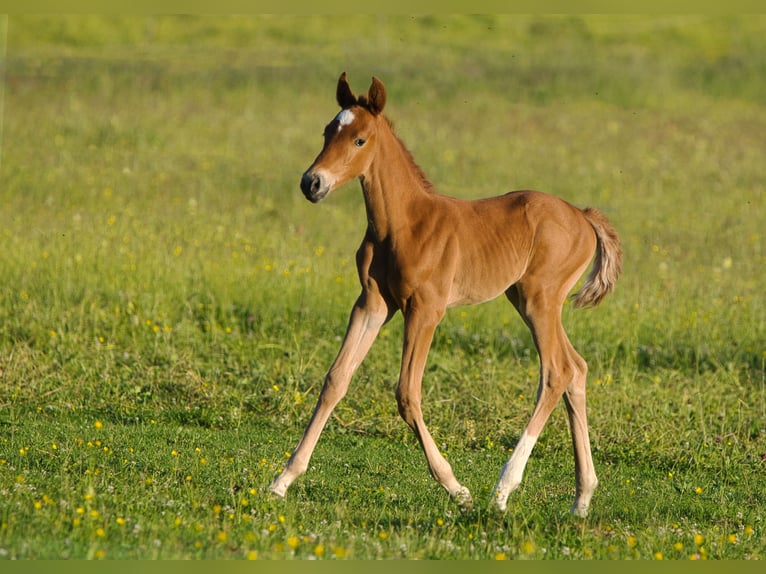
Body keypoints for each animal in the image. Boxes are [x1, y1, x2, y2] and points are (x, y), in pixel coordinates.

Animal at [270, 72, 624, 516]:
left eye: (360, 140)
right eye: (327, 131)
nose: (312, 183)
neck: (404, 223)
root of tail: (582, 215)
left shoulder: (426, 310)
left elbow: (406, 393)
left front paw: (456, 488)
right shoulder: (372, 303)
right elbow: (336, 379)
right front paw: (283, 480)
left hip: (539, 299)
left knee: (557, 371)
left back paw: (503, 489)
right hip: (527, 299)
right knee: (576, 368)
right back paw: (581, 498)